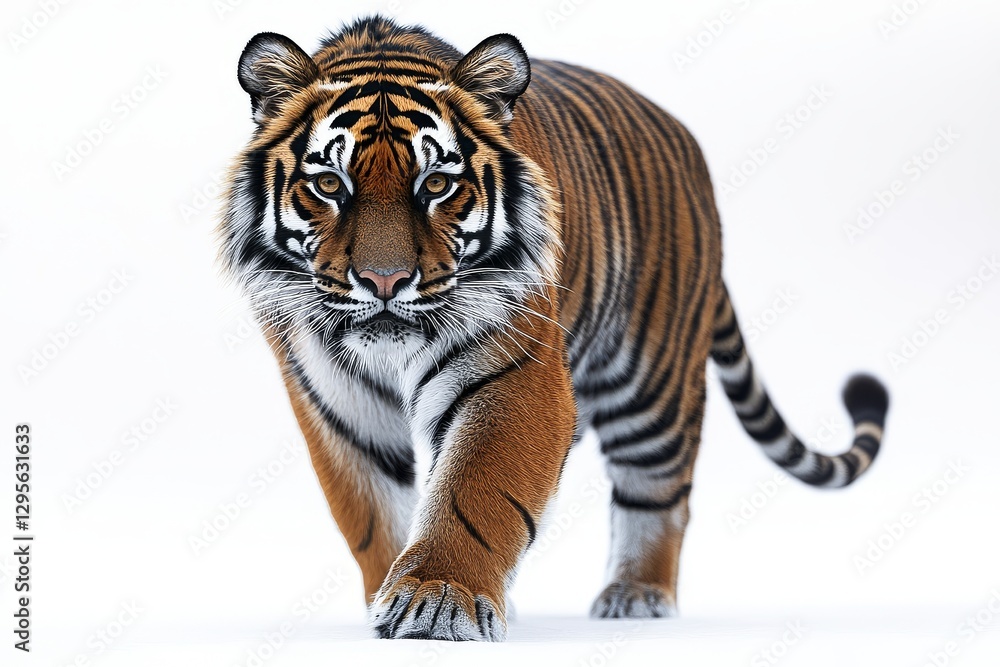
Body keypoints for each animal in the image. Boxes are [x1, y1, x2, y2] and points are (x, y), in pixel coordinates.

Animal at [218, 16, 890, 641]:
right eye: (329, 184)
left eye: (436, 184)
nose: (385, 281)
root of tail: (685, 141)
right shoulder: (337, 403)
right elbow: (374, 513)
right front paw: (395, 593)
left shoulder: (513, 376)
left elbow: (476, 490)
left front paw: (438, 598)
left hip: (652, 384)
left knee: (659, 491)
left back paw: (637, 594)